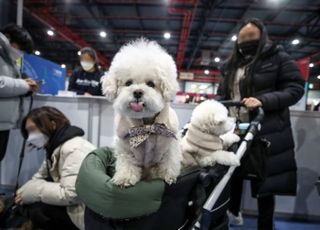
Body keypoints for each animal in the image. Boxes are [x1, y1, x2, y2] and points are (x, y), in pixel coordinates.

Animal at [102, 39, 182, 187]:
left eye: (151, 84)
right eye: (128, 83)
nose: (137, 92)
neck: (146, 124)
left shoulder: (169, 146)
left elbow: (169, 161)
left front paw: (168, 176)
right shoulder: (126, 149)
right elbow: (127, 164)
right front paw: (125, 178)